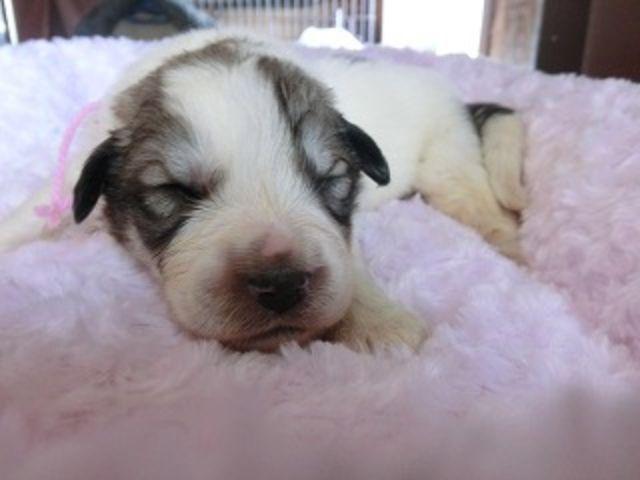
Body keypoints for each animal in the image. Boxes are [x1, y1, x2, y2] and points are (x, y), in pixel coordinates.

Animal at [0, 29, 527, 352]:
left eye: (328, 180)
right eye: (177, 190)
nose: (282, 285)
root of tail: (452, 93)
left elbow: (348, 258)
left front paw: (380, 321)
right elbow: (36, 209)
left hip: (446, 158)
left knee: (480, 204)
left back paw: (513, 242)